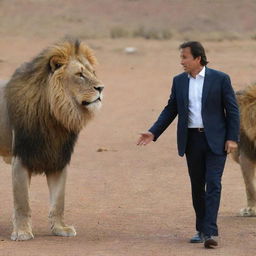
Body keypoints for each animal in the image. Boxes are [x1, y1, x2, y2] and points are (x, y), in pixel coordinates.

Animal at [0, 38, 104, 240]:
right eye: (80, 74)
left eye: (93, 72)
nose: (101, 88)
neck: (55, 115)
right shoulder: (21, 158)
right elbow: (22, 202)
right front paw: (22, 232)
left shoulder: (58, 158)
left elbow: (58, 201)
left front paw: (60, 228)